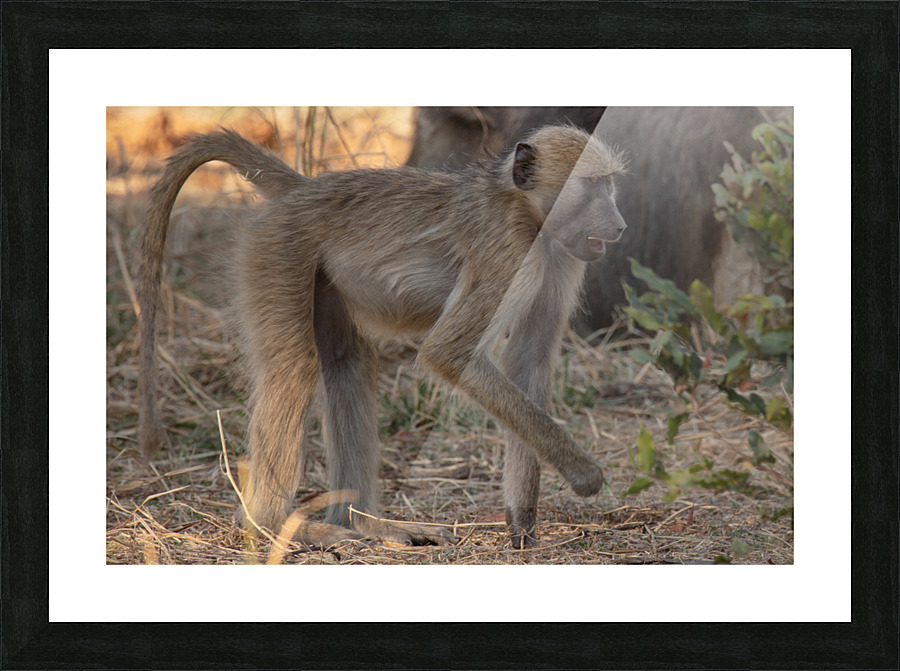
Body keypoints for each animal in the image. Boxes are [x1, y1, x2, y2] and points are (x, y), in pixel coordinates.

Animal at [138, 124, 627, 549]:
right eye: (592, 185)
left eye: (609, 185)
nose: (620, 225)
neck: (526, 211)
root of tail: (303, 189)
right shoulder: (506, 251)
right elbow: (448, 354)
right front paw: (584, 474)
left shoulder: (562, 257)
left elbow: (529, 359)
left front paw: (522, 521)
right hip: (276, 251)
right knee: (294, 370)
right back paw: (275, 527)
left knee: (348, 365)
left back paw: (363, 523)